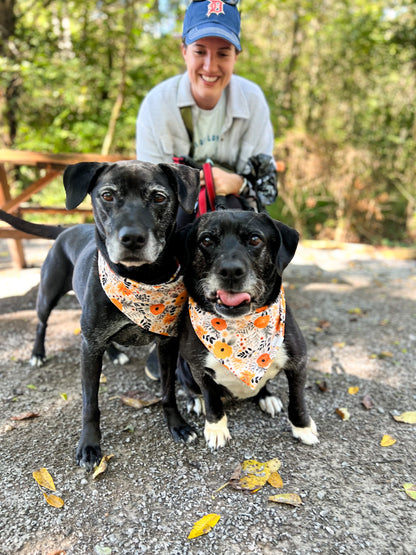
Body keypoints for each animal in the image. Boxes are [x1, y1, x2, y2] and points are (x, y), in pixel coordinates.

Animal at [0, 161, 200, 470]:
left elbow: (168, 391)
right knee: (41, 323)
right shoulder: (89, 348)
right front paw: (89, 445)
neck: (141, 279)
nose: (132, 238)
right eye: (107, 195)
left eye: (159, 197)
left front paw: (177, 425)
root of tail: (68, 228)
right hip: (49, 294)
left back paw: (115, 353)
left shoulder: (167, 343)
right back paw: (37, 353)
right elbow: (90, 404)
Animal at [176, 211, 318, 450]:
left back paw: (266, 397)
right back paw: (196, 400)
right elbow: (212, 400)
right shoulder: (198, 368)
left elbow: (297, 400)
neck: (238, 327)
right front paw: (216, 428)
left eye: (254, 239)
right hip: (183, 368)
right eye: (206, 240)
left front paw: (303, 428)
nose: (231, 271)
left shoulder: (298, 363)